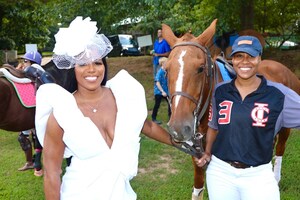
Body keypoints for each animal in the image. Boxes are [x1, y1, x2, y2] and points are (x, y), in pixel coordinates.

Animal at [163, 19, 300, 200]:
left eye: (200, 68)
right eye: (166, 70)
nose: (178, 127)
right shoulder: (198, 157)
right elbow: (198, 190)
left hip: (285, 130)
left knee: (279, 150)